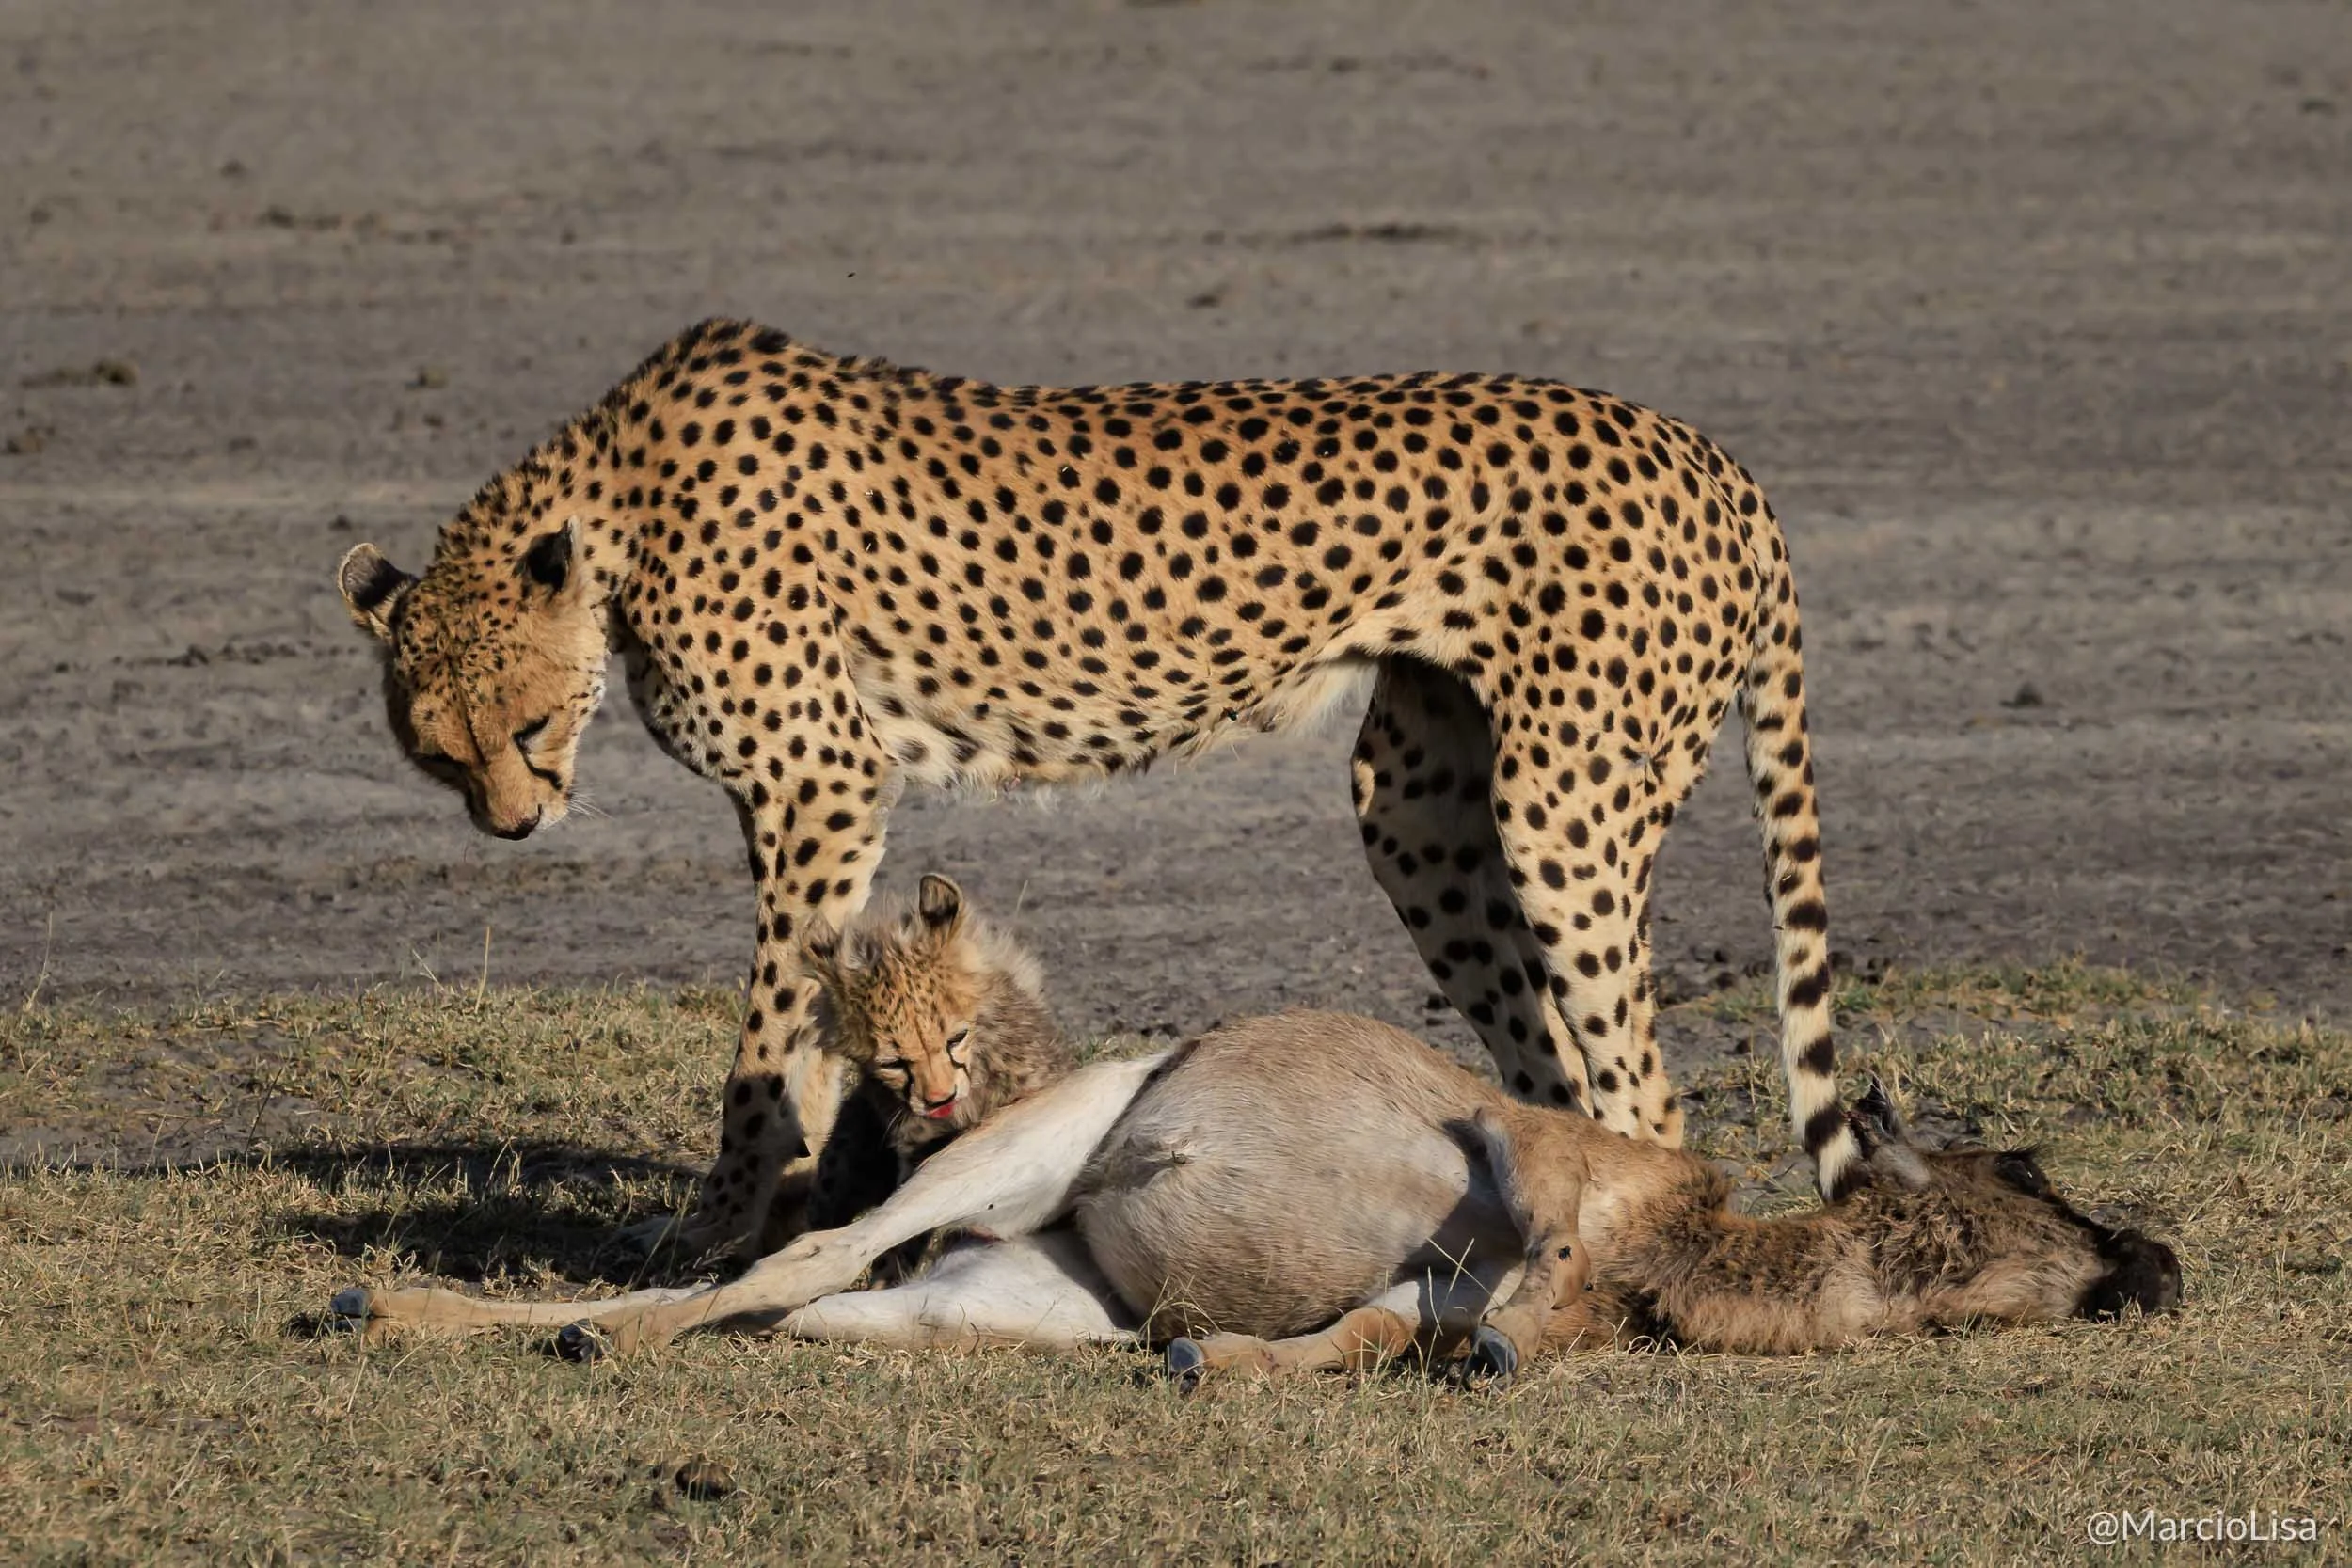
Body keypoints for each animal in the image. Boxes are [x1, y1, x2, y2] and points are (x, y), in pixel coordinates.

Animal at [335, 315, 1862, 1259]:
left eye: (531, 721)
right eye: (440, 748)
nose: (515, 822)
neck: (618, 513)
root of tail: (1716, 458)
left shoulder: (821, 781)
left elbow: (768, 1035)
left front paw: (717, 1219)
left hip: (1562, 803)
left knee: (1644, 1089)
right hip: (1421, 803)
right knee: (1550, 1062)